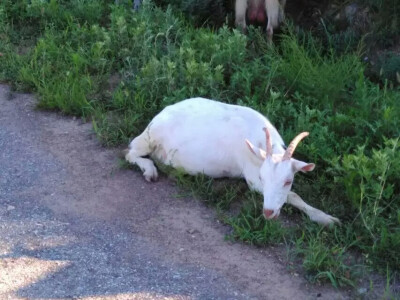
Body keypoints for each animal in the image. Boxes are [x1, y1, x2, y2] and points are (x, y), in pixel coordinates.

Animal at [126, 98, 340, 225]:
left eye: (288, 181)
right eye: (262, 179)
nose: (268, 212)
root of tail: (159, 115)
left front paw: (327, 218)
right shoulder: (251, 176)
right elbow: (293, 196)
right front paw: (324, 218)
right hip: (150, 138)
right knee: (130, 152)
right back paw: (150, 171)